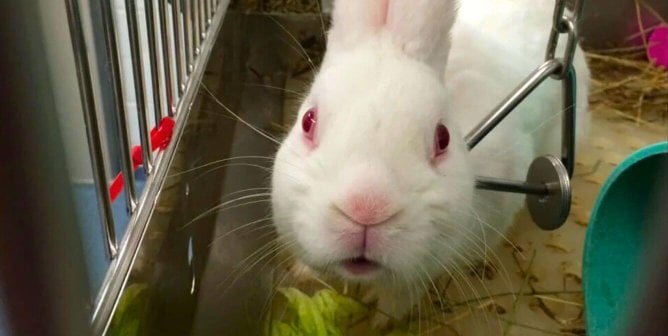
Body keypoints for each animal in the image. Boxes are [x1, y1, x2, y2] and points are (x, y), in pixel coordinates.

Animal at [268, 0, 588, 324]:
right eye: (308, 122)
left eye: (443, 138)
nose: (366, 210)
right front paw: (302, 274)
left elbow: (404, 292)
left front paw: (382, 319)